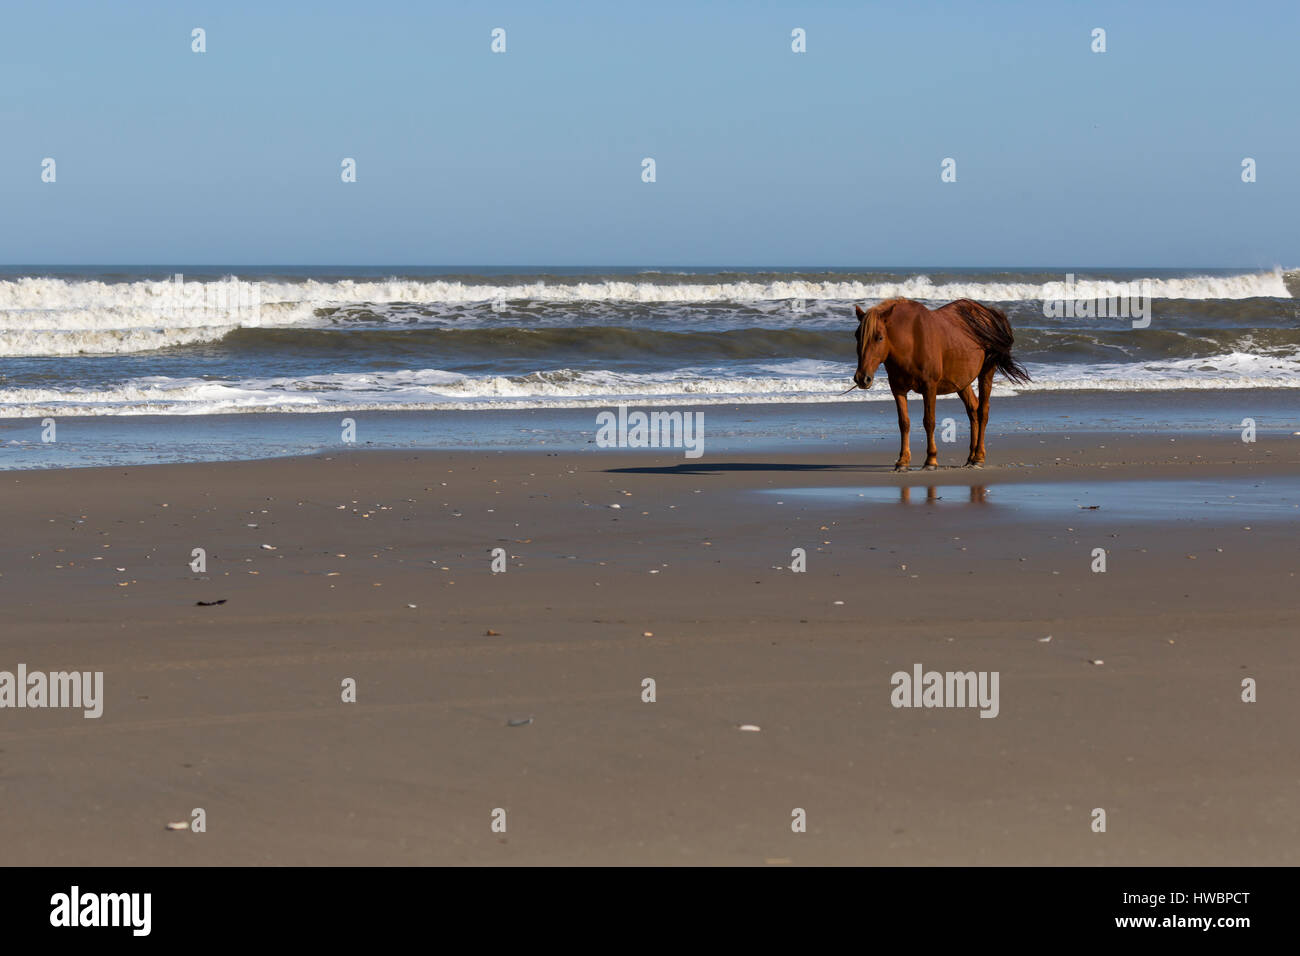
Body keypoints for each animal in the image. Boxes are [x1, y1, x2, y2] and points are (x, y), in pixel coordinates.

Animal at [857, 295, 1029, 468]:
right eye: (856, 336)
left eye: (879, 337)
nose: (862, 378)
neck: (911, 340)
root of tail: (987, 313)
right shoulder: (897, 388)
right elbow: (904, 423)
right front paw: (903, 461)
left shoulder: (929, 387)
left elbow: (929, 421)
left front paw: (931, 459)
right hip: (962, 382)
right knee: (973, 409)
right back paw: (971, 456)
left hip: (986, 373)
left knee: (982, 411)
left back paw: (979, 457)